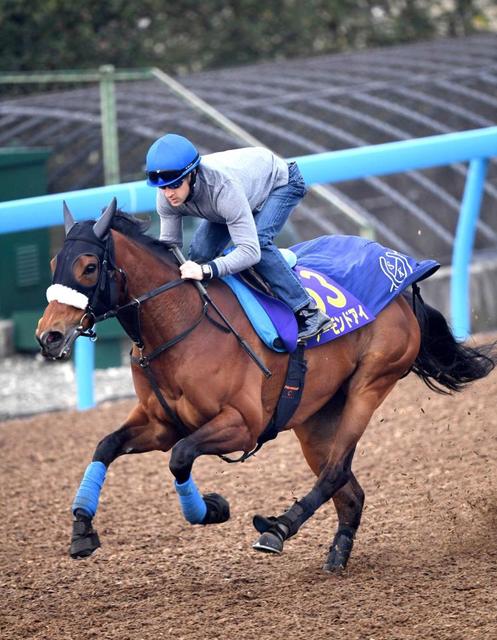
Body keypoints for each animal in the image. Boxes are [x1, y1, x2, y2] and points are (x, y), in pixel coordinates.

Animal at [36, 198, 495, 572]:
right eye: (54, 262)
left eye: (89, 266)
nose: (49, 336)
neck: (183, 323)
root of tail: (401, 283)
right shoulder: (160, 423)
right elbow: (107, 446)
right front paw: (82, 530)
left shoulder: (243, 424)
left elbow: (181, 457)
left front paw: (212, 508)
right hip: (315, 416)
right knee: (348, 488)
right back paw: (337, 552)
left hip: (371, 382)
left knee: (334, 471)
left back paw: (278, 528)